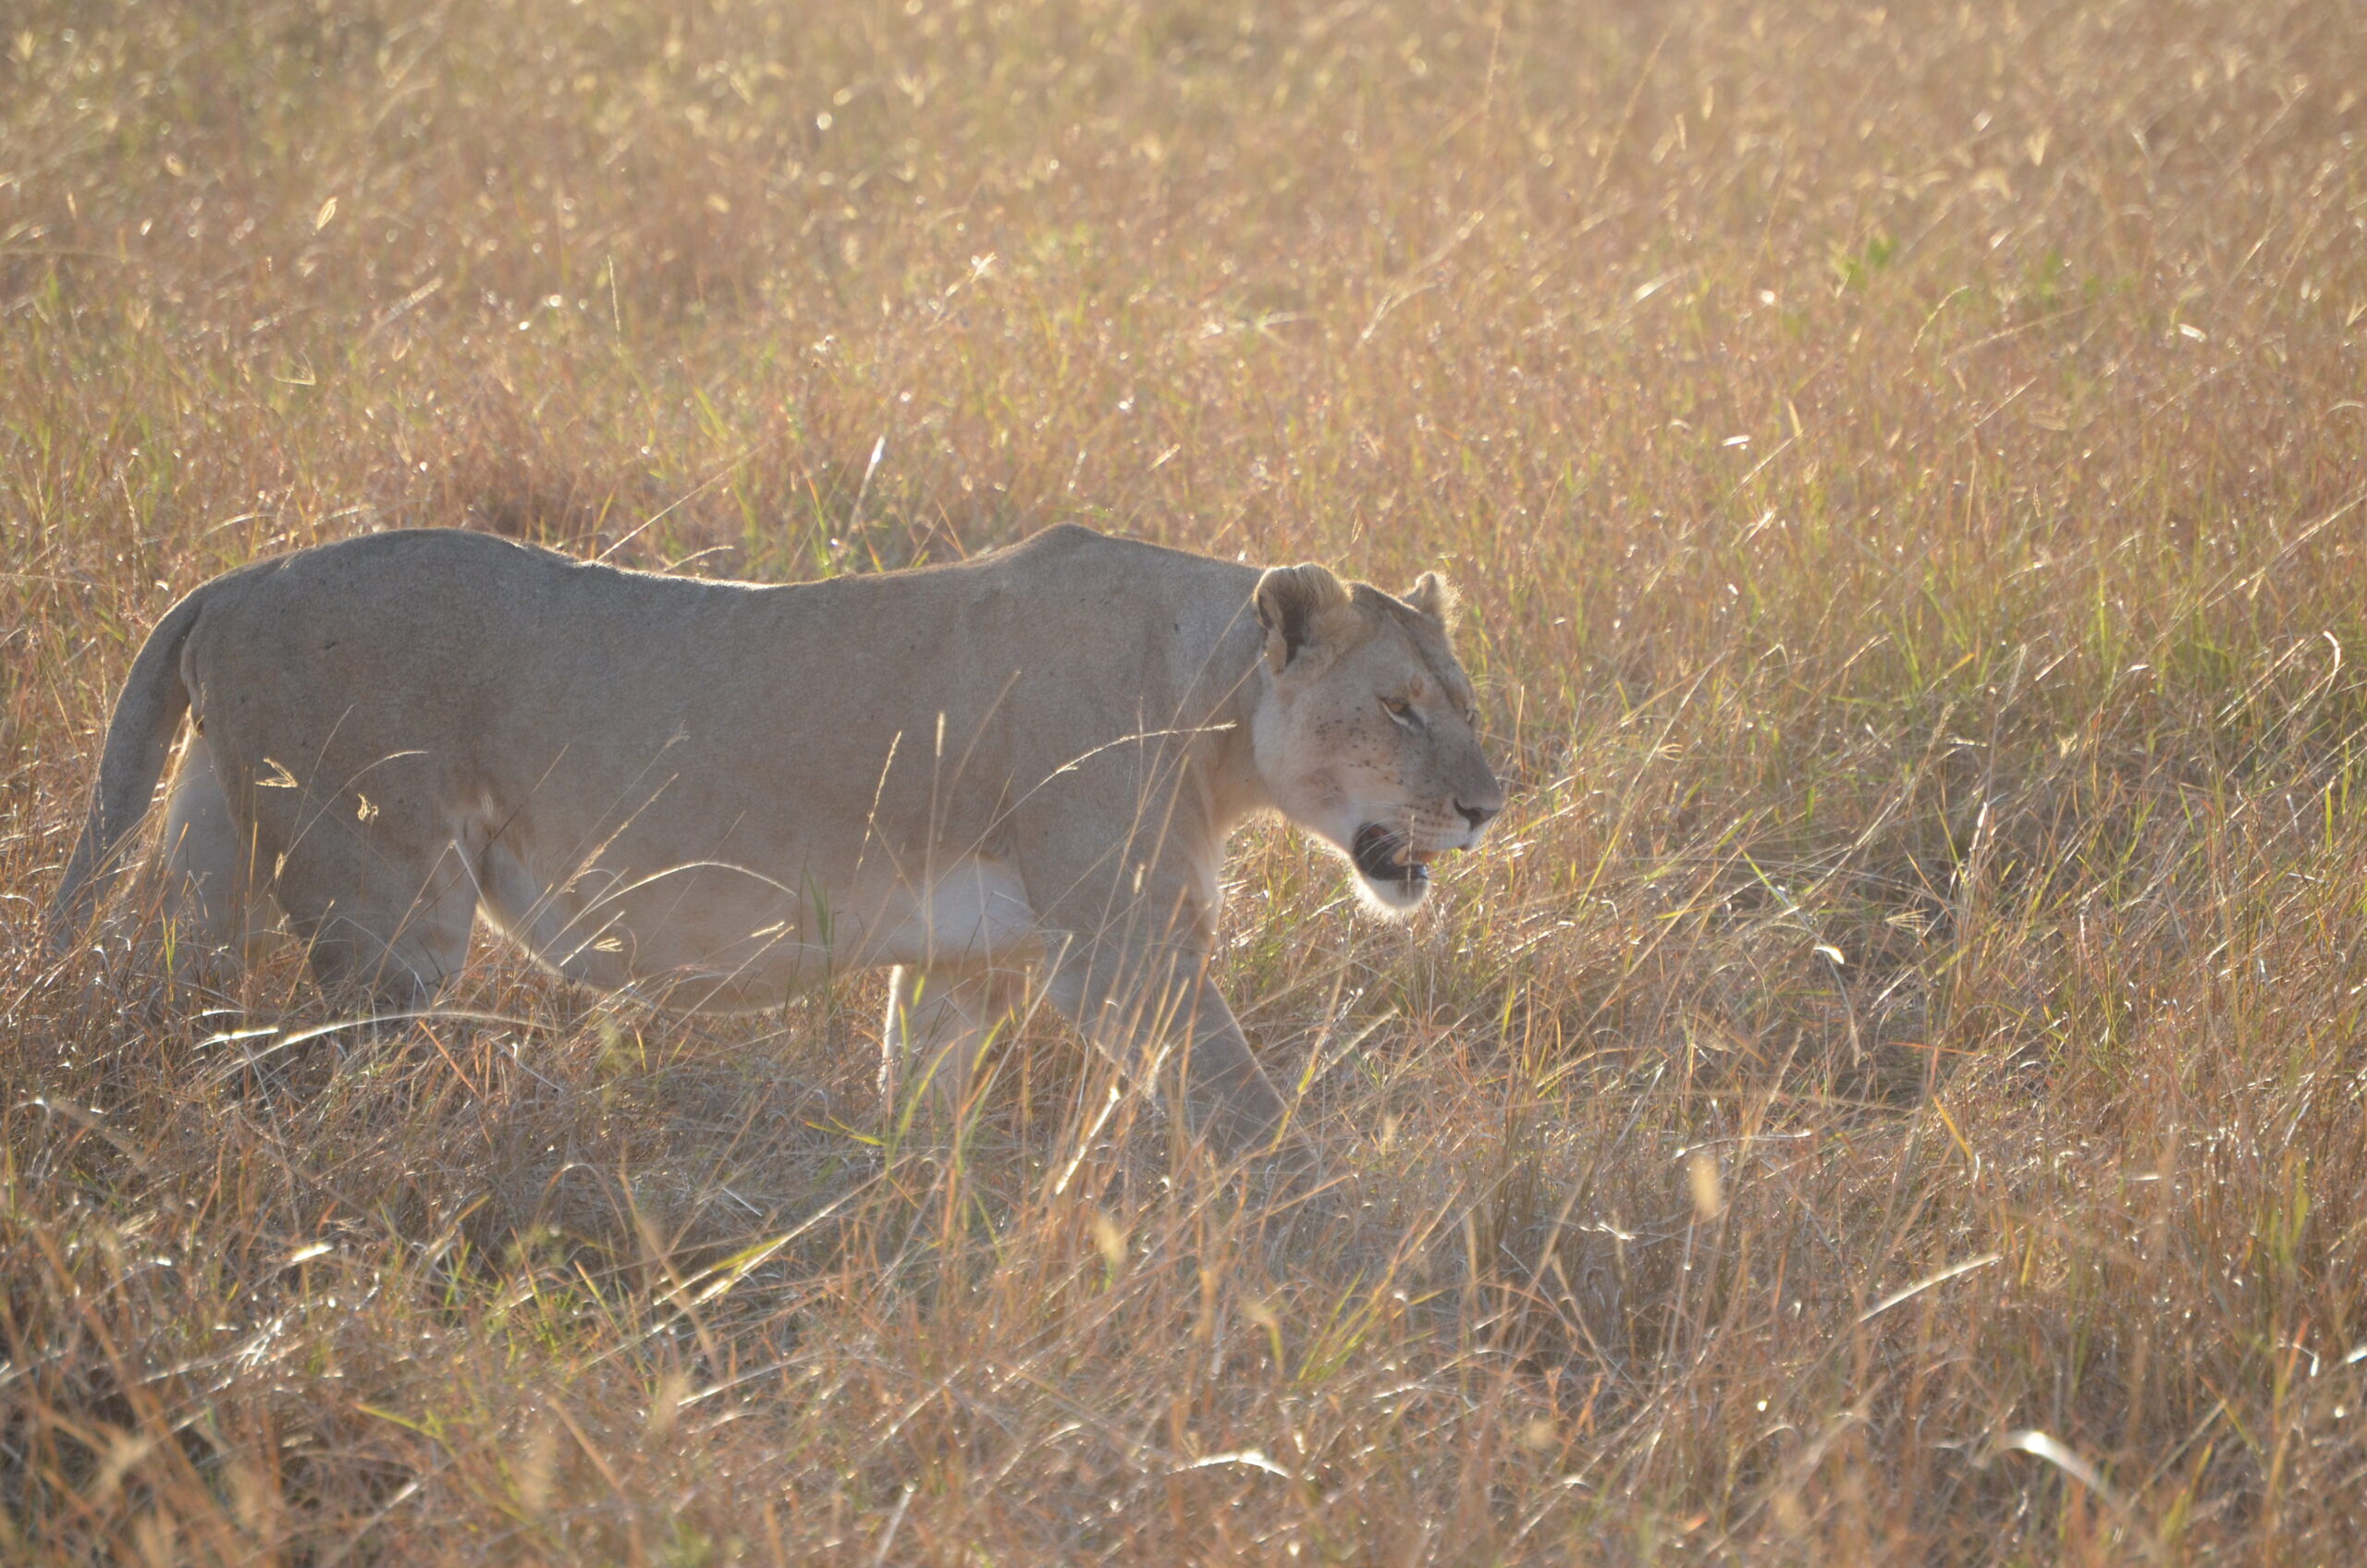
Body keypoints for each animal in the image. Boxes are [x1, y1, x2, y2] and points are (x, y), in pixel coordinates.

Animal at [48, 523, 1502, 1157]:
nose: (1492, 806)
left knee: (173, 1013)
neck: (1211, 712)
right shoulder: (1125, 945)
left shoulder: (971, 960)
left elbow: (920, 1094)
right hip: (389, 913)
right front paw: (1331, 1238)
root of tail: (233, 579)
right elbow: (1242, 1108)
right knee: (309, 1074)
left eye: (1462, 701)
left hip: (212, 861)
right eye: (1399, 707)